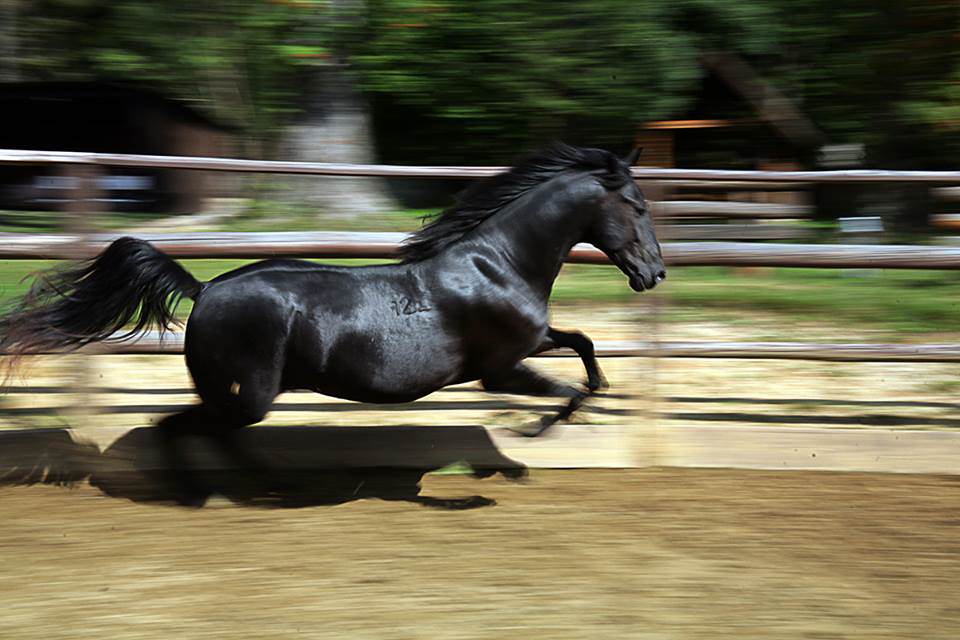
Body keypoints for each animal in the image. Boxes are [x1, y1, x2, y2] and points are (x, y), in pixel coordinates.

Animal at [1, 142, 668, 502]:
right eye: (636, 206)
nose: (655, 274)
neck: (497, 265)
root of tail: (205, 287)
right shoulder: (498, 368)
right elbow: (560, 390)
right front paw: (532, 436)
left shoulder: (530, 342)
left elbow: (582, 344)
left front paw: (590, 397)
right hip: (251, 393)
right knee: (180, 427)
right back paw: (210, 492)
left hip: (234, 391)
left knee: (204, 431)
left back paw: (272, 482)